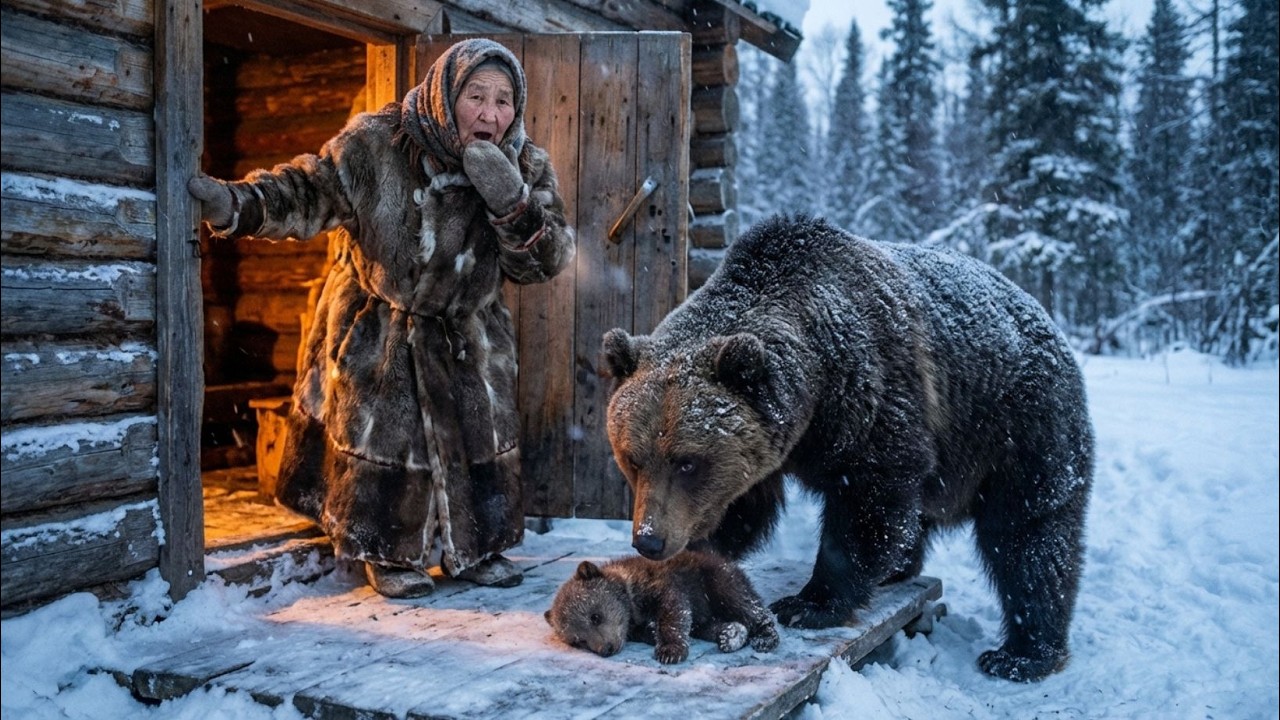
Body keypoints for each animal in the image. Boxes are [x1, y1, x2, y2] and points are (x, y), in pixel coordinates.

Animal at [544, 550, 780, 664]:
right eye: (578, 641)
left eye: (595, 616)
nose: (606, 649)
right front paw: (652, 633)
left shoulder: (659, 583)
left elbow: (673, 610)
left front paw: (670, 651)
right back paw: (730, 634)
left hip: (717, 579)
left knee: (744, 604)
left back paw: (764, 637)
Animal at [599, 214, 1094, 682]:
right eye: (633, 459)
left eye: (687, 463)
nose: (649, 539)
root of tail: (1041, 312)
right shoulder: (767, 443)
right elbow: (743, 508)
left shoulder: (872, 395)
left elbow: (867, 502)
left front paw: (808, 603)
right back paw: (902, 570)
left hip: (1018, 425)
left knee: (1029, 536)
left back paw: (1021, 654)